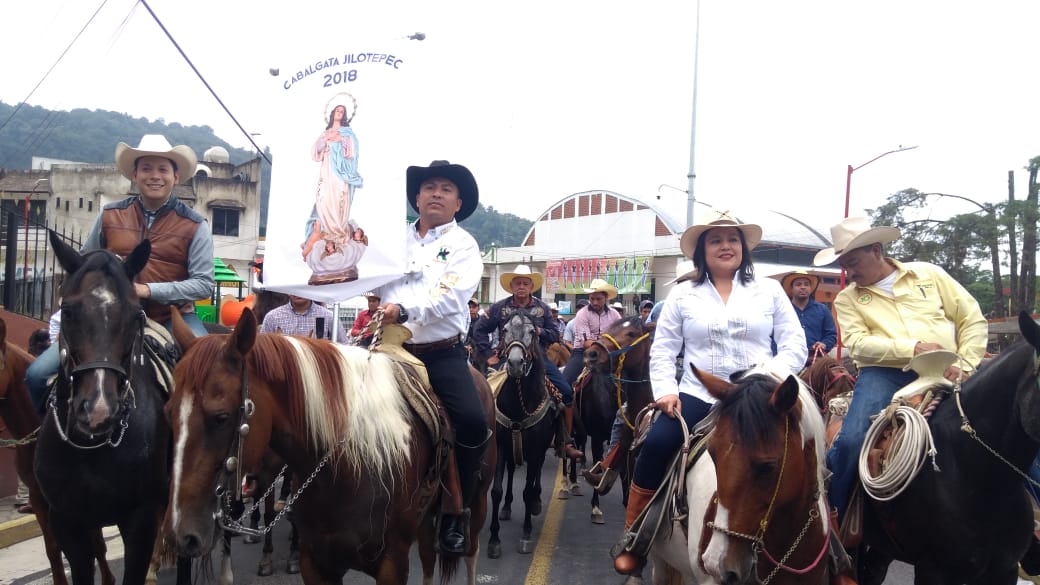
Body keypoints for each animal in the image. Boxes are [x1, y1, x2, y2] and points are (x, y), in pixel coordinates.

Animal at [165, 308, 495, 578]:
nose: (183, 535)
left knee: (470, 552)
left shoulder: (393, 563)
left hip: (476, 507)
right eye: (169, 411)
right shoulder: (319, 562)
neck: (348, 465)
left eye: (220, 417)